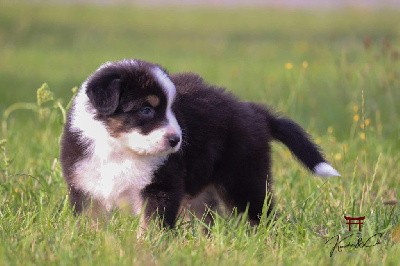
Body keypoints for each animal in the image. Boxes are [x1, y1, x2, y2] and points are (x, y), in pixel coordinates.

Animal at [60, 59, 340, 229]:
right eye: (146, 109)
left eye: (173, 109)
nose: (176, 140)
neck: (119, 150)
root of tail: (255, 111)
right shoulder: (85, 188)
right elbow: (89, 223)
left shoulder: (162, 187)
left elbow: (152, 228)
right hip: (203, 194)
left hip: (243, 179)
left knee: (260, 214)